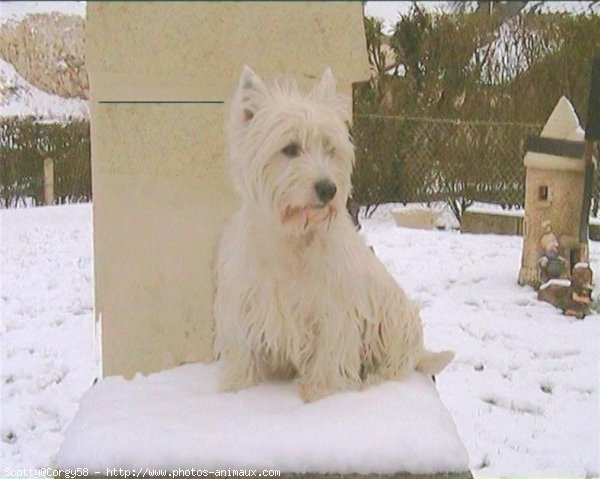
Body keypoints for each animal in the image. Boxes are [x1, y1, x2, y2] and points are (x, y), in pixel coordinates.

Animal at [213, 65, 452, 404]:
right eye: (290, 149)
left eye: (330, 148)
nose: (328, 189)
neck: (292, 238)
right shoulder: (245, 307)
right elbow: (243, 359)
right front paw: (235, 389)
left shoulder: (332, 313)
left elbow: (327, 358)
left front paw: (319, 394)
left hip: (395, 319)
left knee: (396, 364)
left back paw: (372, 380)